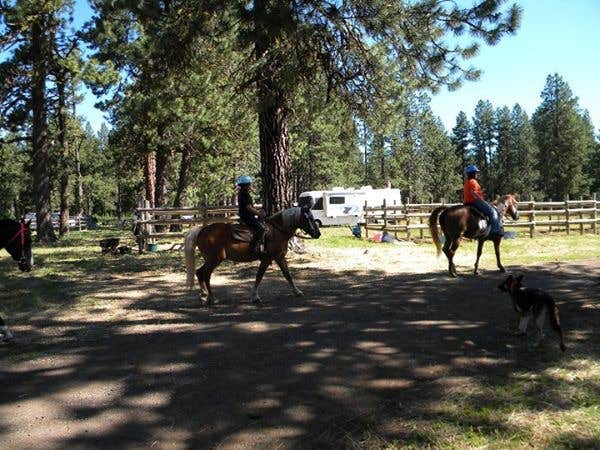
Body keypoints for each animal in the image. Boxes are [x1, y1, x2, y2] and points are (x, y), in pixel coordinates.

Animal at [185, 205, 322, 306]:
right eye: (308, 218)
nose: (318, 233)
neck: (276, 231)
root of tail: (202, 230)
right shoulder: (267, 259)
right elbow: (259, 276)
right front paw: (255, 297)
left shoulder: (279, 257)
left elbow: (287, 274)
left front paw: (297, 291)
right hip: (215, 259)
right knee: (205, 274)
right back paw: (210, 298)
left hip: (211, 259)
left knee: (200, 273)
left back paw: (204, 297)